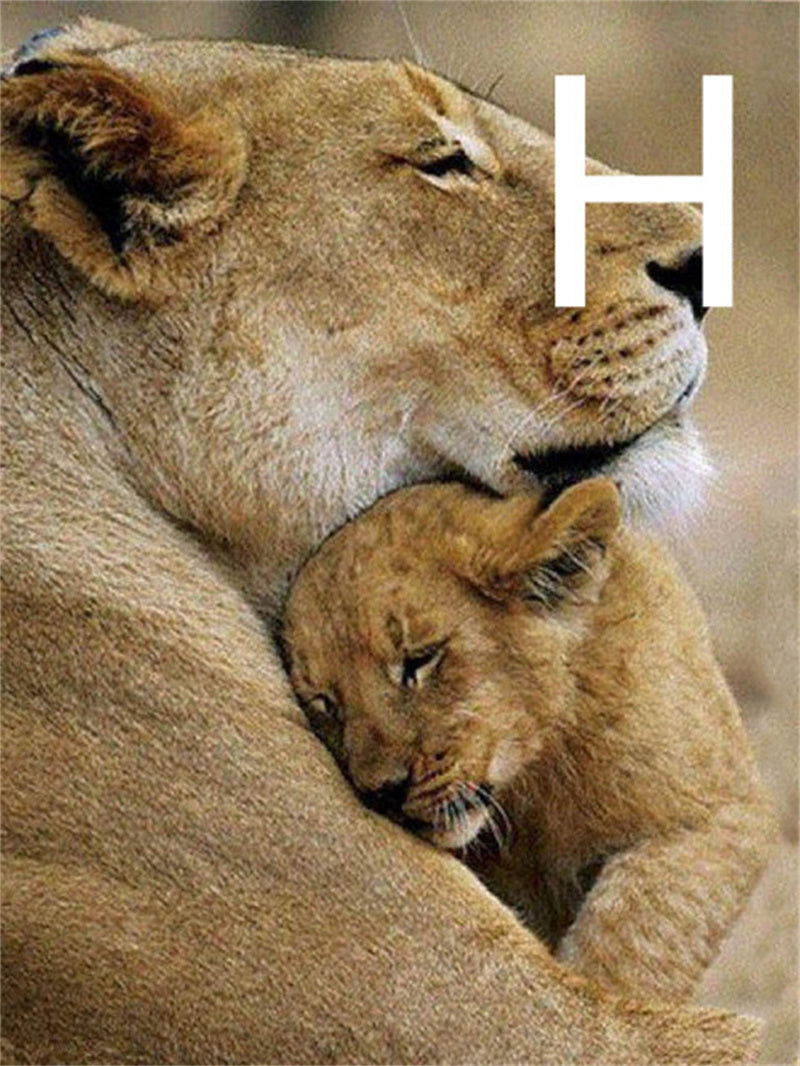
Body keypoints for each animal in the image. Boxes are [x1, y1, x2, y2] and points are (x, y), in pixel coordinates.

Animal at [283, 477, 775, 1006]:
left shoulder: (722, 812)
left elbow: (636, 929)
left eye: (420, 659)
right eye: (325, 702)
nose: (383, 792)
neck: (534, 781)